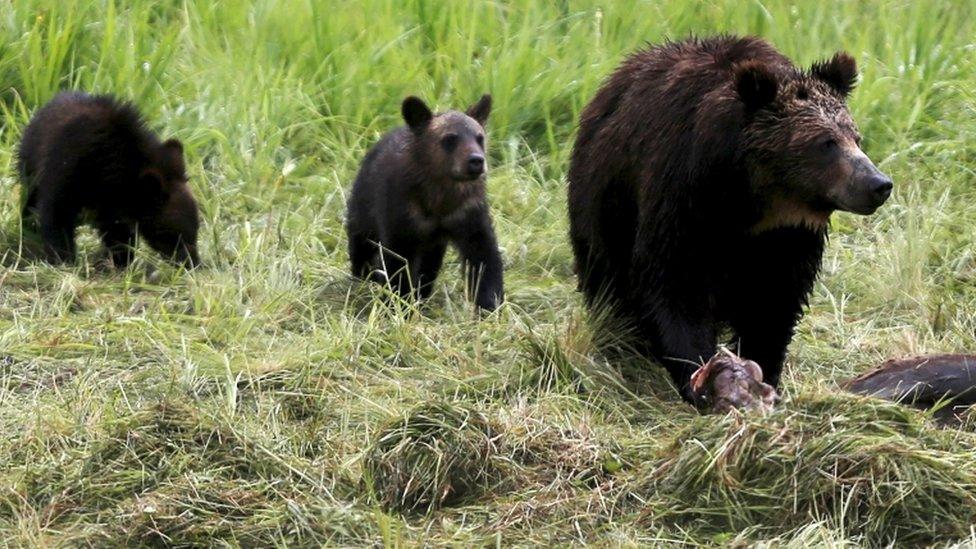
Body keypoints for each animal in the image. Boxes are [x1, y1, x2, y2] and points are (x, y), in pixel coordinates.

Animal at [17, 91, 200, 266]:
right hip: (29, 167)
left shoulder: (112, 200)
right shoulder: (65, 171)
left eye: (197, 230)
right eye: (172, 236)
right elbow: (56, 214)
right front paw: (63, 259)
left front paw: (119, 260)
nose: (194, 264)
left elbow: (117, 230)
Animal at [346, 93, 504, 308]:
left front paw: (490, 304)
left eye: (480, 137)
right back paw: (362, 278)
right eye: (449, 138)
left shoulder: (468, 213)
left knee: (429, 265)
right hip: (363, 209)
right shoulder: (401, 214)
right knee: (361, 244)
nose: (476, 161)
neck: (439, 200)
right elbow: (398, 262)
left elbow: (484, 256)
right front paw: (398, 302)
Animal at [568, 34, 896, 402]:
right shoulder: (682, 198)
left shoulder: (788, 237)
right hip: (604, 204)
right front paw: (700, 375)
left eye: (855, 137)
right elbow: (676, 285)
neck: (750, 199)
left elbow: (773, 302)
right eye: (825, 142)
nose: (878, 184)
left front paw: (762, 370)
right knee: (608, 284)